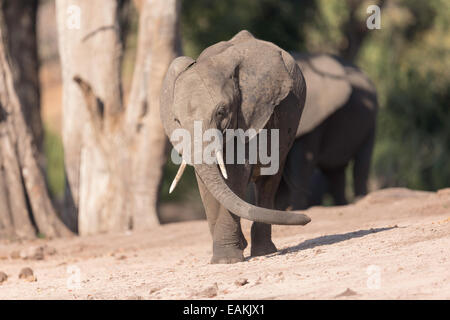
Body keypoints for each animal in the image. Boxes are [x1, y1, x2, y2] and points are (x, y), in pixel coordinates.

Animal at [160, 30, 312, 264]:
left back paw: (264, 250)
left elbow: (236, 174)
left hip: (292, 115)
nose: (306, 219)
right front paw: (228, 254)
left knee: (269, 180)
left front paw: (226, 260)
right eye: (176, 120)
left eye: (221, 112)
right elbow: (206, 180)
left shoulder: (249, 116)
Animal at [274, 53, 380, 211]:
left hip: (371, 121)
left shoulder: (314, 119)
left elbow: (304, 161)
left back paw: (359, 201)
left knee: (361, 165)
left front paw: (296, 210)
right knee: (335, 173)